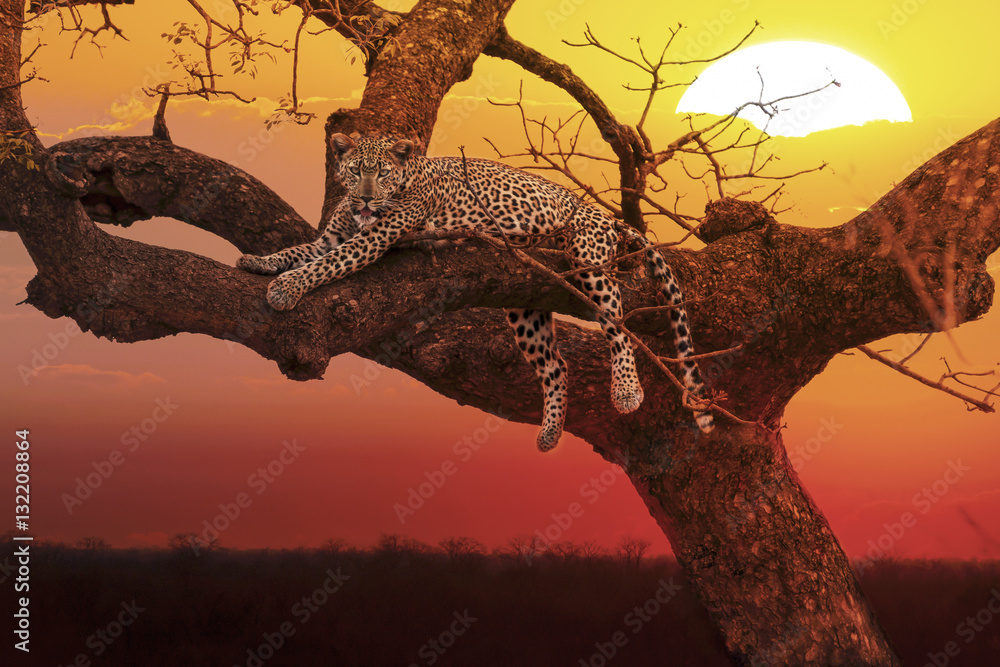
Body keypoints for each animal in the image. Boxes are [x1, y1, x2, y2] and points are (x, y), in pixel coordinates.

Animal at [237, 134, 714, 451]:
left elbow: (325, 265)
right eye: (356, 170)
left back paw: (627, 391)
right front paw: (260, 262)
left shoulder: (373, 239)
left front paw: (286, 289)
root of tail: (605, 215)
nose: (368, 199)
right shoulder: (332, 237)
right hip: (526, 301)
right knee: (556, 364)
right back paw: (550, 433)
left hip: (589, 256)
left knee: (617, 325)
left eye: (383, 173)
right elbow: (300, 251)